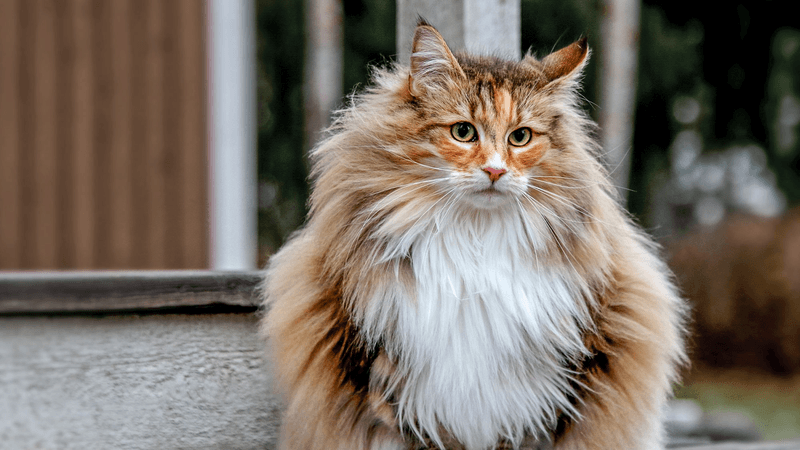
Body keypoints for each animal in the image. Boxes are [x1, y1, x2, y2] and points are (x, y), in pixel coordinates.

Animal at [262, 21, 688, 450]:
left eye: (520, 137)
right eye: (464, 132)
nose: (496, 171)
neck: (475, 245)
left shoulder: (544, 399)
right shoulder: (392, 392)